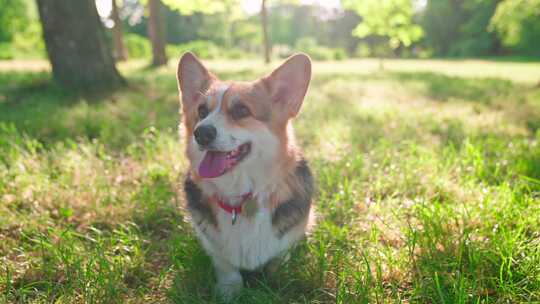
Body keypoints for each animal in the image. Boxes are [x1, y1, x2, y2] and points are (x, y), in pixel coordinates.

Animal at [175, 52, 314, 300]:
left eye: (241, 111)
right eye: (202, 111)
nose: (201, 133)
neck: (240, 198)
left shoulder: (288, 238)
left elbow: (278, 259)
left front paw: (278, 280)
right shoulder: (213, 246)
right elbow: (226, 266)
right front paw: (229, 291)